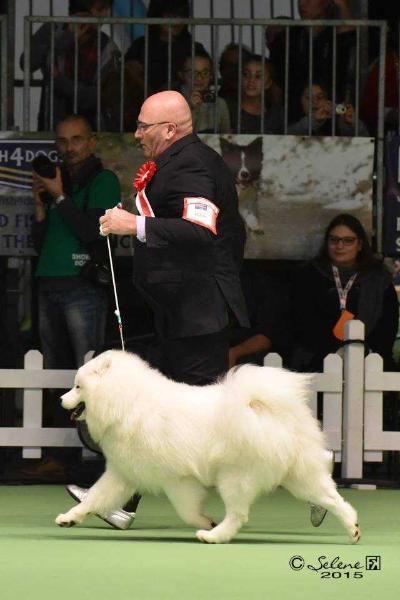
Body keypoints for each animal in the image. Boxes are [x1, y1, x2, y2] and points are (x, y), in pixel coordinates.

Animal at [55, 350, 360, 548]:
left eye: (77, 386)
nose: (60, 400)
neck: (127, 402)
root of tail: (257, 406)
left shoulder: (177, 480)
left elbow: (187, 510)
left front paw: (205, 522)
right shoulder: (123, 474)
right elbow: (94, 498)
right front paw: (70, 518)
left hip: (235, 478)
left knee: (238, 514)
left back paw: (214, 536)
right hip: (299, 475)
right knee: (332, 498)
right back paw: (353, 527)